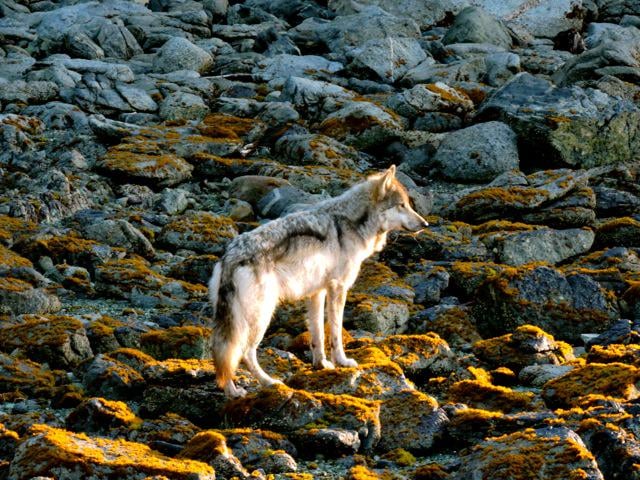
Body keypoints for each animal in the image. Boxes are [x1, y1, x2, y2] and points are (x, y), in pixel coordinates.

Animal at [208, 165, 429, 397]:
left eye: (408, 204)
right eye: (401, 205)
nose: (425, 224)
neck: (350, 223)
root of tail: (231, 257)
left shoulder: (317, 292)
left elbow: (317, 334)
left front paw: (321, 365)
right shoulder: (338, 288)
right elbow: (335, 332)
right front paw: (342, 361)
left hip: (236, 321)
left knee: (222, 352)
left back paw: (232, 392)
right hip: (261, 317)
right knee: (244, 353)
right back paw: (269, 383)